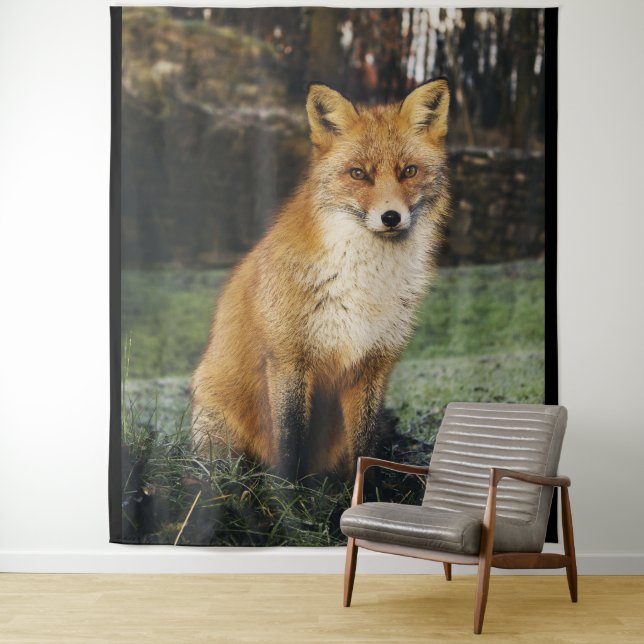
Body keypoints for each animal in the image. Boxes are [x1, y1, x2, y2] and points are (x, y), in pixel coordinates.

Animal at [191, 78, 450, 480]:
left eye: (409, 171)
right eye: (358, 173)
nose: (391, 217)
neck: (363, 285)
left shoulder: (373, 365)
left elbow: (365, 448)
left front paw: (369, 491)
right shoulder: (288, 358)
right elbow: (288, 440)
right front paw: (286, 495)